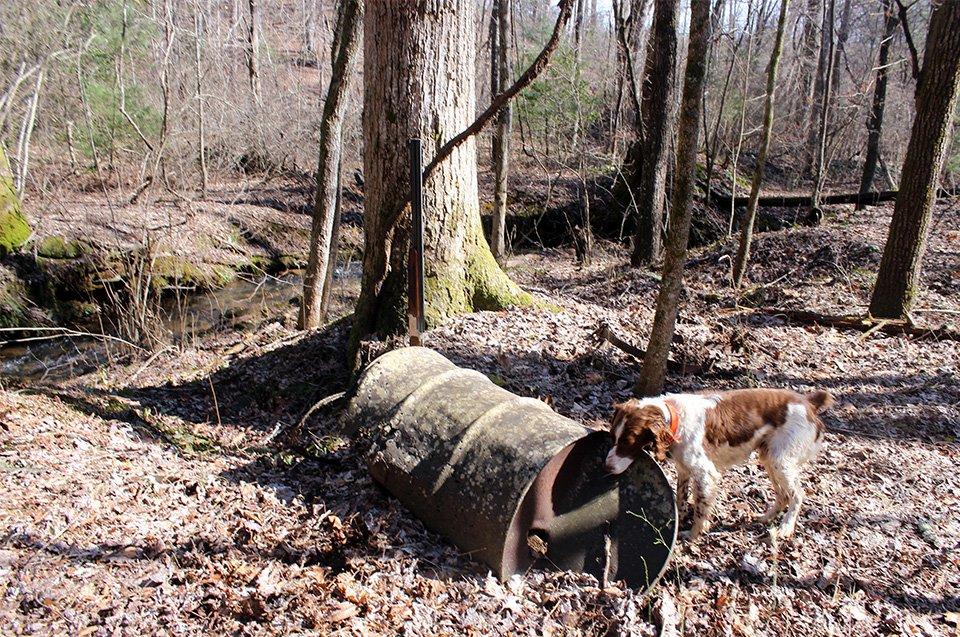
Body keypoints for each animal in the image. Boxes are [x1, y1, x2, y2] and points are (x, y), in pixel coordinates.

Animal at [608, 388, 832, 540]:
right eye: (612, 437)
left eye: (627, 443)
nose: (606, 467)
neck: (675, 419)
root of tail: (808, 402)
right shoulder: (684, 469)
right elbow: (681, 498)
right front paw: (678, 519)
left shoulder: (705, 473)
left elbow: (700, 508)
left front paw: (692, 534)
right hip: (769, 457)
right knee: (784, 495)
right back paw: (765, 518)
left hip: (780, 460)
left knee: (797, 495)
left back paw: (785, 527)